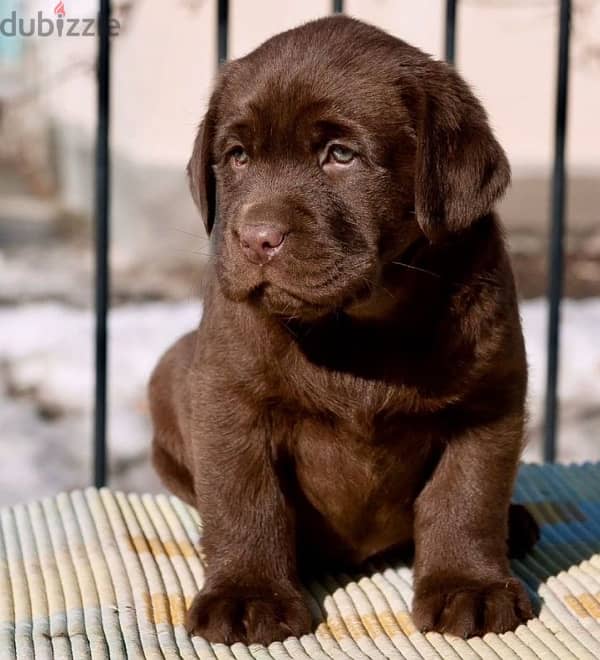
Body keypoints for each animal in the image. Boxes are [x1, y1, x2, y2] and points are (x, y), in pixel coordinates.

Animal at [149, 15, 540, 644]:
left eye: (341, 155)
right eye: (236, 157)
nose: (256, 238)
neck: (357, 325)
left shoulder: (489, 399)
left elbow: (466, 497)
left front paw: (470, 588)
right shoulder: (229, 397)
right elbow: (244, 498)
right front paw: (247, 594)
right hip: (169, 373)